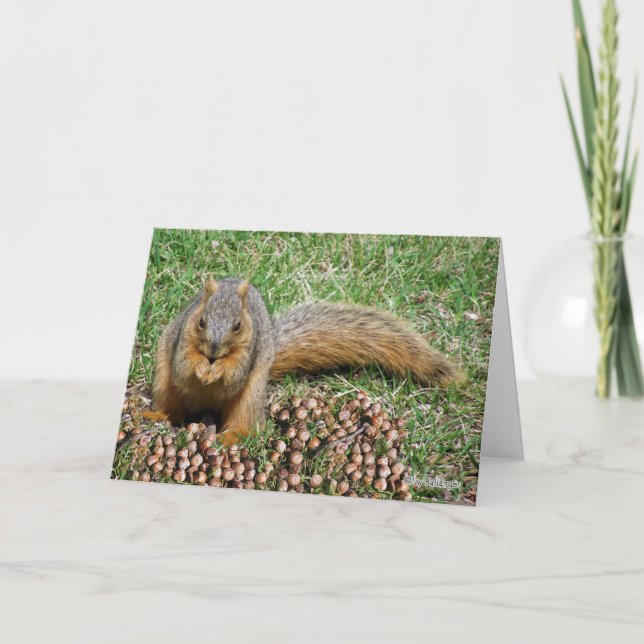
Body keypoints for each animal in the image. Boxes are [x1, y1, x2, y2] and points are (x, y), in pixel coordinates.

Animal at [144, 277, 462, 446]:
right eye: (201, 321)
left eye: (237, 326)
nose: (213, 350)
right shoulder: (181, 340)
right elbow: (184, 367)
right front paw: (201, 367)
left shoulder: (249, 351)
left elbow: (233, 375)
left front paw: (219, 369)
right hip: (163, 381)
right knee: (172, 409)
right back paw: (154, 416)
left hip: (252, 394)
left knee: (247, 422)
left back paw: (233, 437)